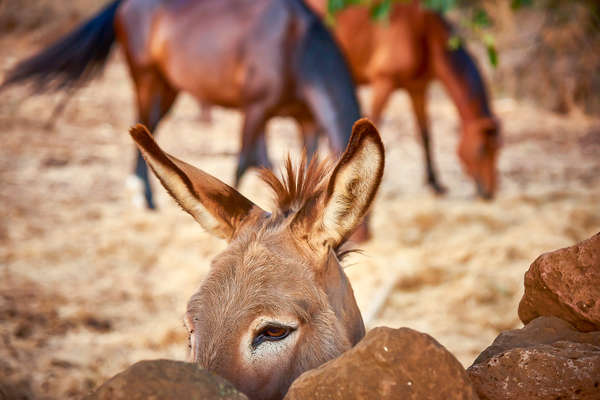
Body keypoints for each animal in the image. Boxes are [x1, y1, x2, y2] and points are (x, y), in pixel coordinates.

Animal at [1, 0, 360, 209]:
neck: (297, 45)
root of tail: (125, 3)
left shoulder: (306, 120)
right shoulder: (255, 109)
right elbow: (245, 162)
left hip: (169, 87)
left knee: (150, 129)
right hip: (147, 80)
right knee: (144, 124)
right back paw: (143, 197)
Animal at [304, 0, 502, 198]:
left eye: (498, 151)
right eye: (481, 150)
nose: (488, 193)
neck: (424, 33)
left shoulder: (418, 89)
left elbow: (425, 135)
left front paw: (434, 183)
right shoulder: (383, 83)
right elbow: (374, 125)